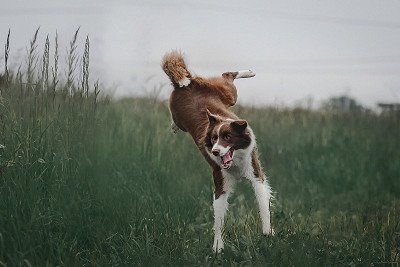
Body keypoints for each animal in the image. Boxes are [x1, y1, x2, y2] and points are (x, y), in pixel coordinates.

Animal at [161, 50, 274, 253]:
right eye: (213, 139)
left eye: (227, 137)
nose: (214, 151)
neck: (235, 162)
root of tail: (186, 84)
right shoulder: (220, 182)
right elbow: (219, 219)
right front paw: (217, 247)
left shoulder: (256, 174)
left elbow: (263, 205)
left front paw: (268, 232)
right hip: (185, 113)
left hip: (228, 95)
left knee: (227, 76)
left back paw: (249, 72)